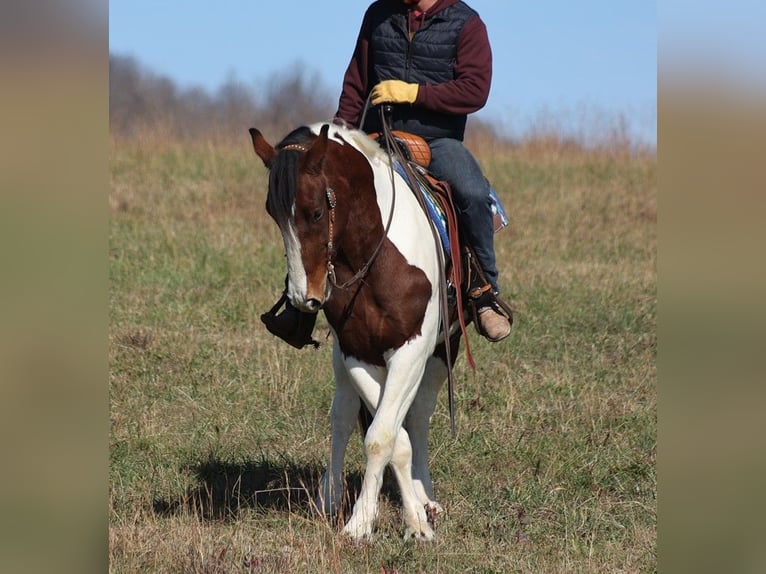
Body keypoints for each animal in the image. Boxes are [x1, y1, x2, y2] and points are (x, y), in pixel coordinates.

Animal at [250, 122, 462, 544]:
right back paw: (330, 496)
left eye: (316, 212)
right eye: (273, 213)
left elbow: (388, 435)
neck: (373, 256)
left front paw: (410, 519)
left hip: (440, 353)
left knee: (417, 418)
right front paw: (371, 518)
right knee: (343, 415)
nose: (303, 297)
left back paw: (426, 497)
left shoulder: (412, 352)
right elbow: (387, 437)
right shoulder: (356, 352)